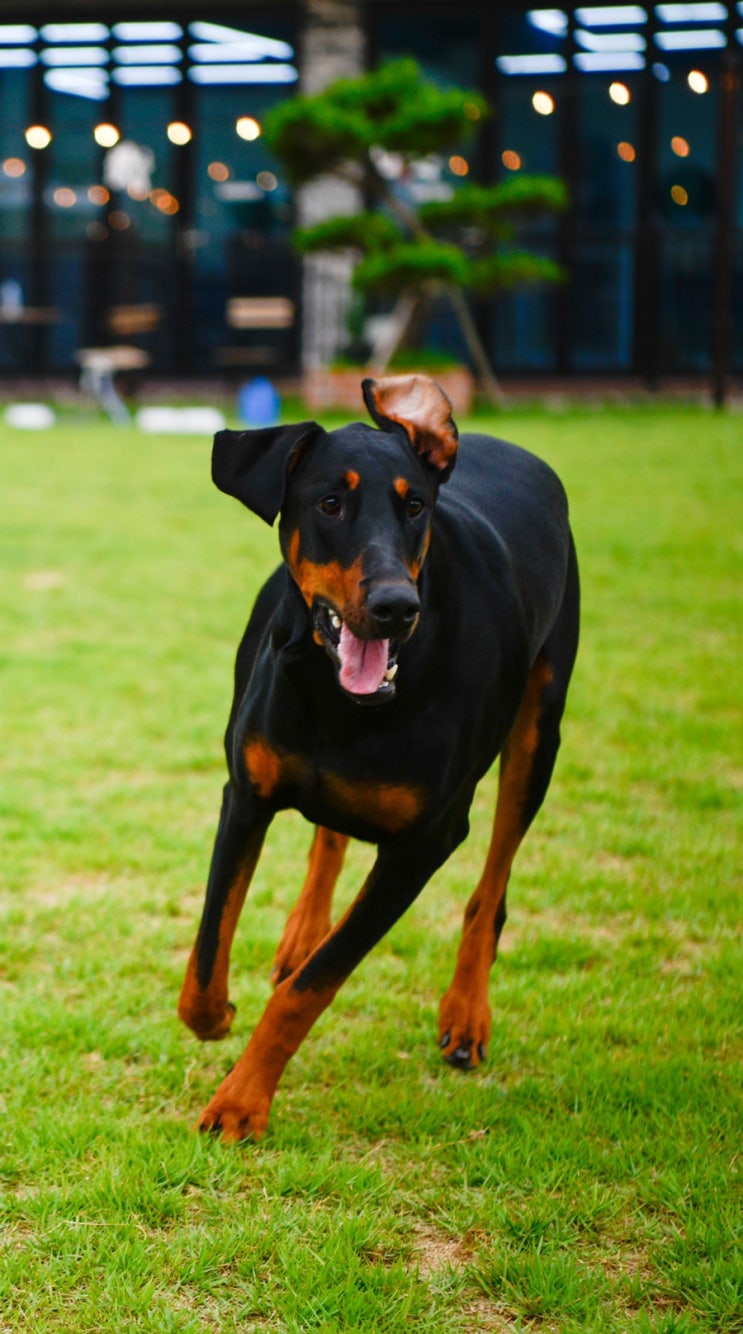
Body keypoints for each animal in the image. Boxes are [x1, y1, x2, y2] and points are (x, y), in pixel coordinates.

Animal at [178, 373, 579, 1141]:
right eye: (329, 503)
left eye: (415, 506)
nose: (397, 605)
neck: (340, 701)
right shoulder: (245, 793)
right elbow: (208, 958)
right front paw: (220, 1017)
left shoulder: (425, 844)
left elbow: (312, 988)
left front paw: (241, 1101)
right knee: (330, 837)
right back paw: (303, 929)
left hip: (538, 730)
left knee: (491, 886)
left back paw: (466, 1013)